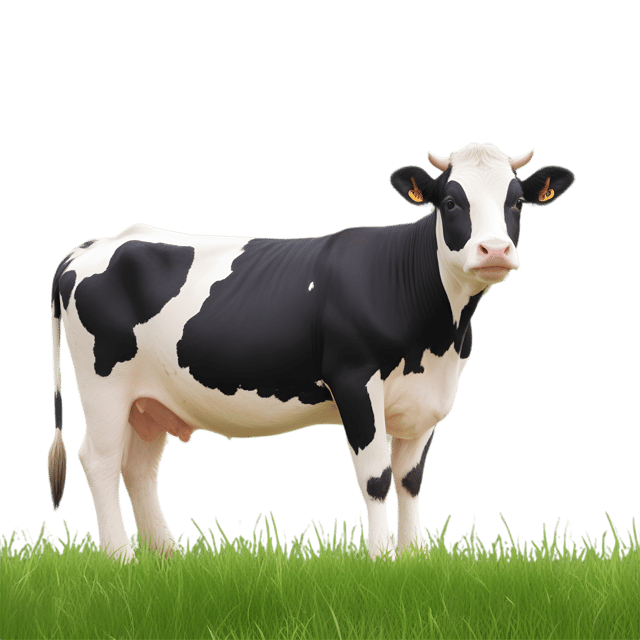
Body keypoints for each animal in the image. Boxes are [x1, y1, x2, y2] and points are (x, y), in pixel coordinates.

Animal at [47, 142, 575, 563]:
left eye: (517, 202)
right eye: (449, 201)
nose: (494, 250)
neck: (440, 338)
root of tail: (95, 245)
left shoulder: (429, 396)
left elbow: (410, 478)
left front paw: (418, 557)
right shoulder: (354, 380)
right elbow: (378, 476)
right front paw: (384, 559)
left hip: (150, 402)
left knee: (139, 469)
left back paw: (169, 557)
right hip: (103, 383)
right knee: (100, 459)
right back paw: (122, 558)